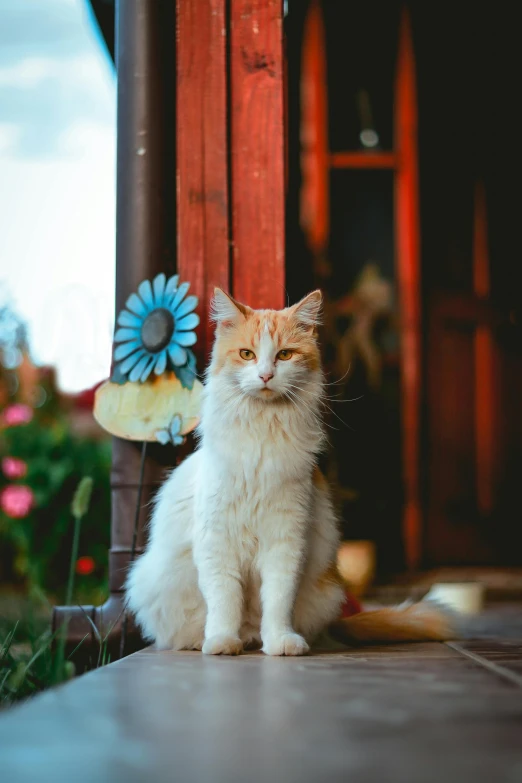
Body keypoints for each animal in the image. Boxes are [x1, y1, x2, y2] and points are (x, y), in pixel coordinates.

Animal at [125, 288, 450, 656]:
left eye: (284, 355)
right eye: (247, 354)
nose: (266, 375)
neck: (262, 433)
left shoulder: (285, 540)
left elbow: (278, 600)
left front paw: (281, 642)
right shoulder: (218, 542)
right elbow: (225, 600)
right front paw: (222, 641)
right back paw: (216, 641)